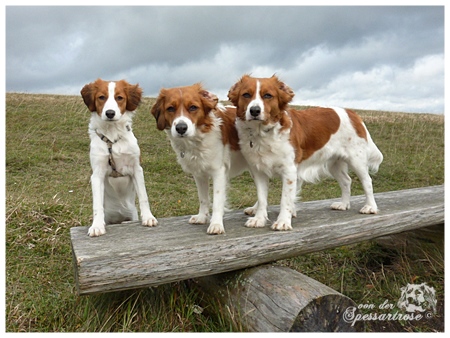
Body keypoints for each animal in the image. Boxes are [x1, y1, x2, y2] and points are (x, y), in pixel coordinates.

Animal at [81, 78, 158, 238]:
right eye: (101, 97)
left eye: (119, 97)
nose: (110, 113)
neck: (112, 135)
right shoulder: (97, 174)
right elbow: (97, 204)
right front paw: (96, 226)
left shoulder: (136, 169)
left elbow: (144, 196)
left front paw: (148, 217)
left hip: (131, 215)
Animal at [152, 83, 250, 234]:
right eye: (170, 108)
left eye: (193, 107)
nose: (181, 128)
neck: (197, 139)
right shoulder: (199, 173)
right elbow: (203, 198)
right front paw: (202, 217)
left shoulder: (218, 171)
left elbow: (217, 200)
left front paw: (216, 224)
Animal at [229, 75, 384, 231]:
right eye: (246, 95)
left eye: (267, 95)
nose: (254, 110)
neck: (262, 133)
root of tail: (352, 113)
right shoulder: (258, 171)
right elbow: (262, 199)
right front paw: (259, 219)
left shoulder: (290, 171)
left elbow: (285, 199)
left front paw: (283, 221)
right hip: (334, 163)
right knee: (346, 180)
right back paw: (344, 204)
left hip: (356, 160)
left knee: (367, 181)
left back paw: (370, 206)